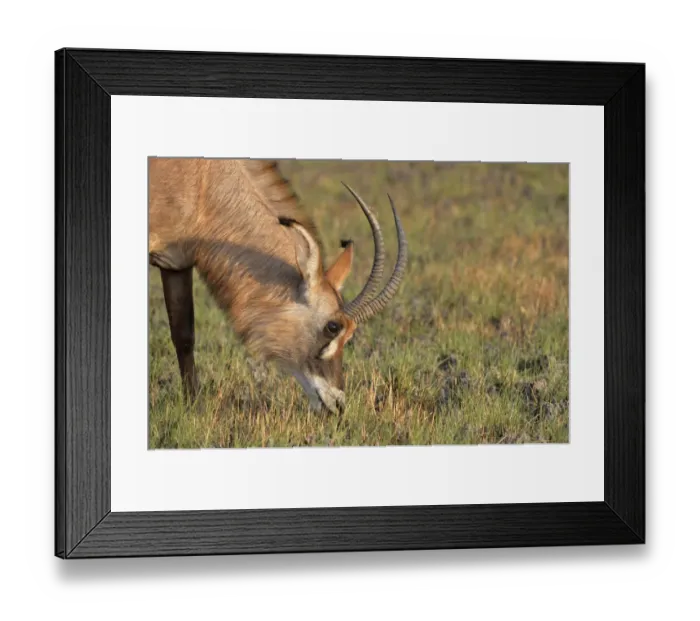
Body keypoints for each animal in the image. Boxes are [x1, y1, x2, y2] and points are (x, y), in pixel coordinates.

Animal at [148, 157, 407, 414]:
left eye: (350, 333)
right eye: (332, 327)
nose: (338, 403)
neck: (205, 184)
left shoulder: (176, 263)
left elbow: (184, 336)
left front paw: (194, 407)